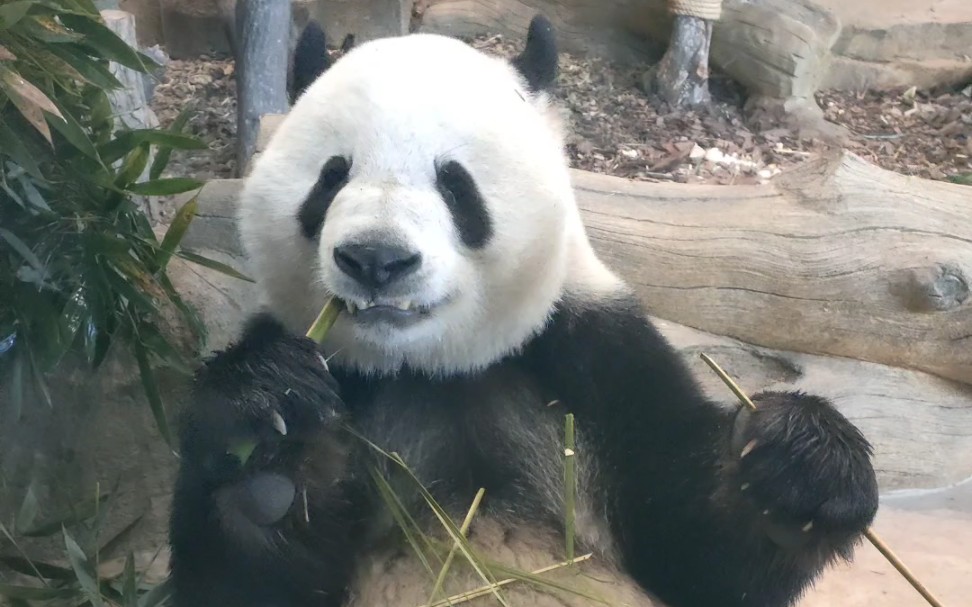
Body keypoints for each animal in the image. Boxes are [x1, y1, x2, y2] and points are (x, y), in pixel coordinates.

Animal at [167, 15, 880, 607]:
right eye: (331, 176)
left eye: (455, 183)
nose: (376, 259)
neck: (431, 368)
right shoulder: (340, 376)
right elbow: (238, 583)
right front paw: (265, 434)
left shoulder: (592, 357)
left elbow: (702, 558)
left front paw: (800, 464)